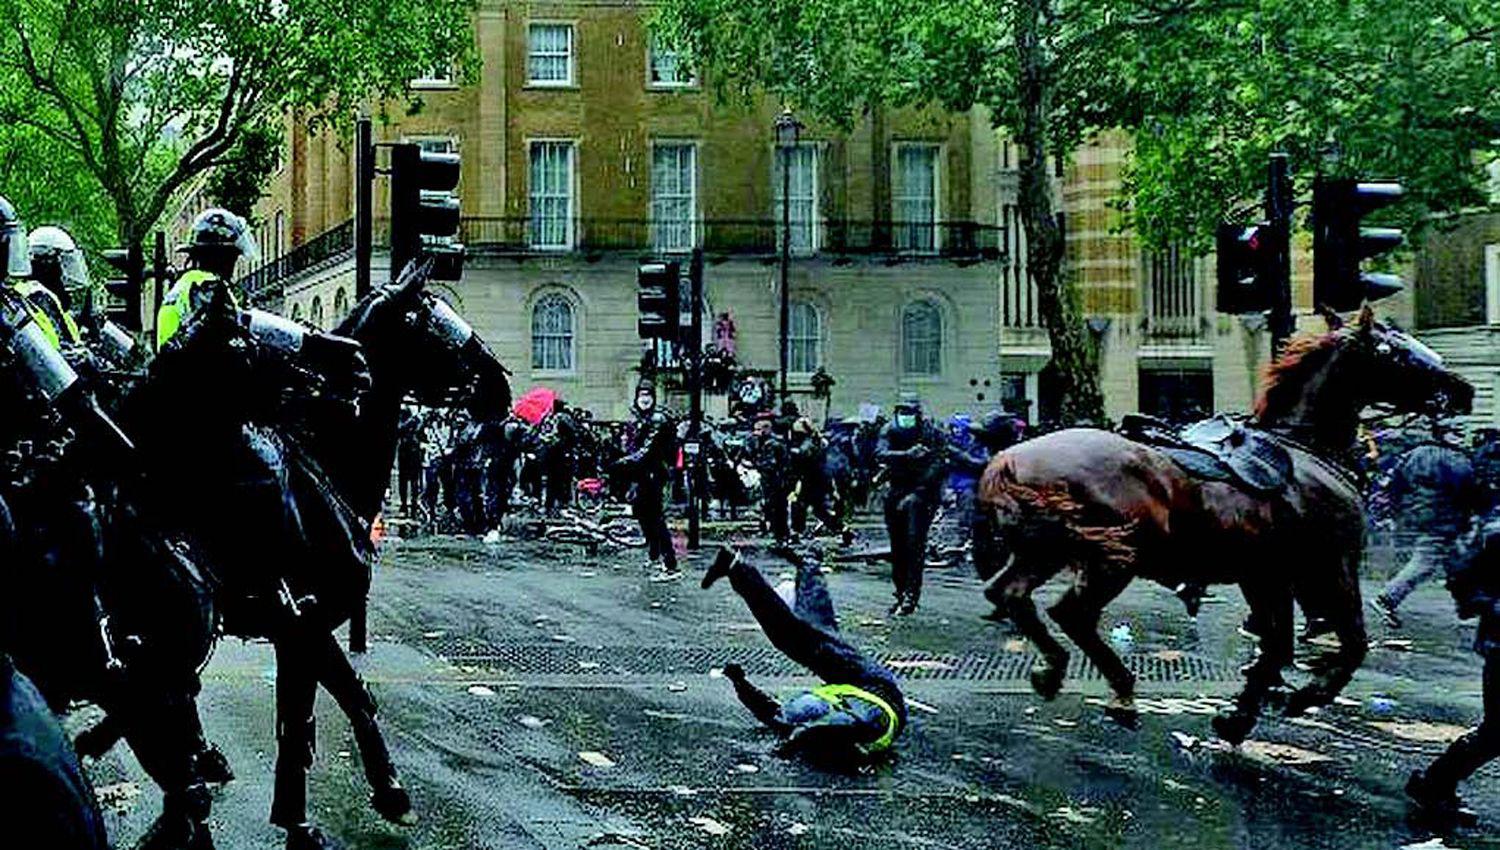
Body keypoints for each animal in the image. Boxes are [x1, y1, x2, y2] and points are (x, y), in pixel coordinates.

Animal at [978, 308, 1470, 740]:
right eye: (1398, 351)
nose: (1462, 388)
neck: (1305, 449)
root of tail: (1008, 460)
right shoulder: (1331, 567)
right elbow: (1350, 645)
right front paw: (1300, 698)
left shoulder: (1266, 577)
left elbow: (1278, 644)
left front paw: (1242, 712)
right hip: (1111, 560)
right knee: (1071, 613)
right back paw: (1120, 691)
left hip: (1044, 552)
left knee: (1009, 594)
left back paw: (1054, 669)